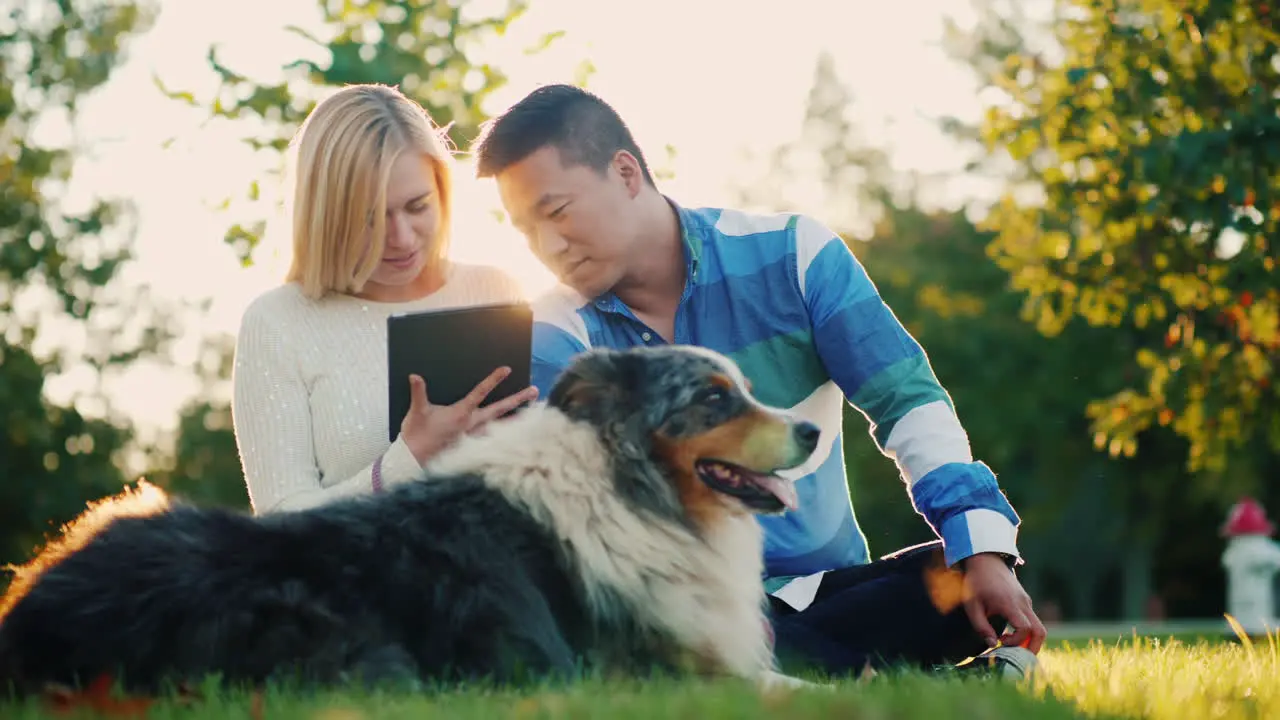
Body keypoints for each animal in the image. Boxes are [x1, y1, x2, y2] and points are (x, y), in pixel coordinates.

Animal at [0, 345, 819, 691]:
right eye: (713, 398)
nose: (812, 431)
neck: (624, 484)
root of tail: (33, 616)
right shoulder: (651, 669)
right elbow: (794, 689)